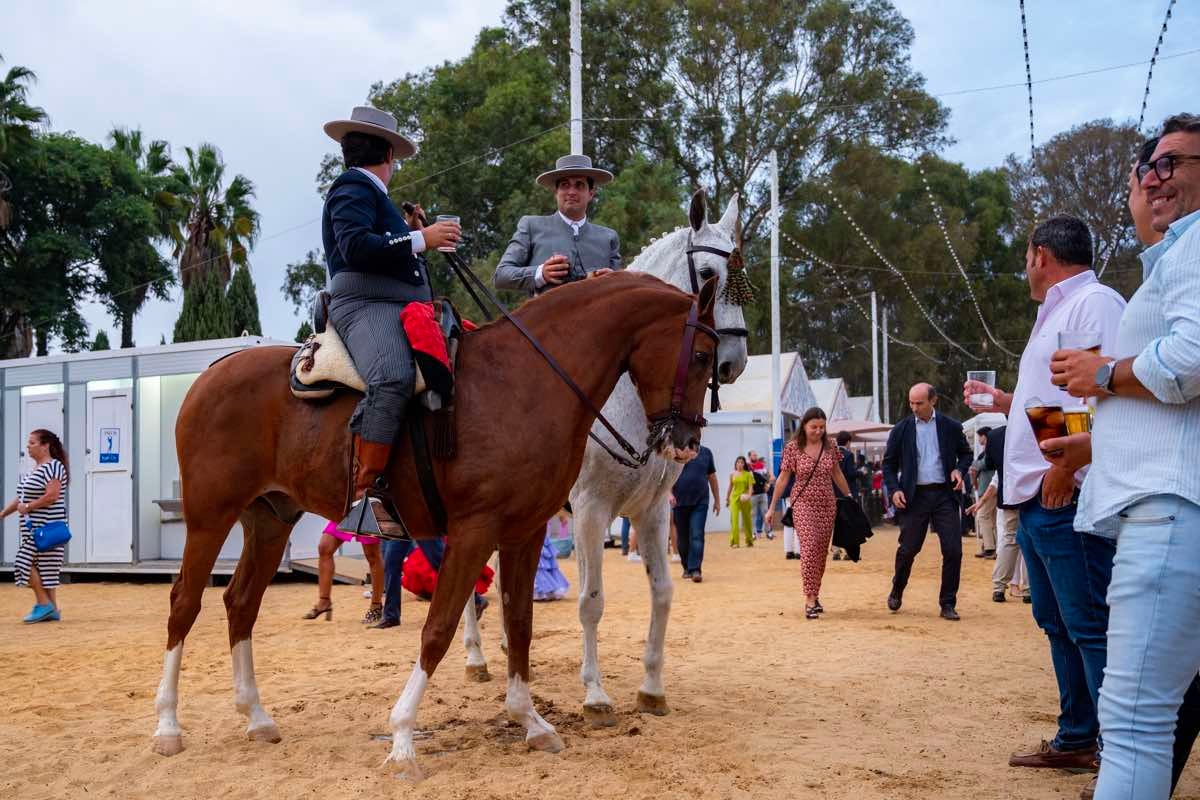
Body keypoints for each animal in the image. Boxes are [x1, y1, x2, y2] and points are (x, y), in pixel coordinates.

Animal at [146, 272, 715, 777]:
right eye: (704, 355)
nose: (686, 442)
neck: (526, 382)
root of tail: (212, 373)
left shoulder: (525, 532)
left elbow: (519, 623)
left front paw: (530, 721)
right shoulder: (474, 530)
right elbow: (438, 629)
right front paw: (402, 739)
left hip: (269, 521)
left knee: (241, 603)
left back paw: (257, 717)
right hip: (210, 516)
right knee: (184, 603)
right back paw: (168, 725)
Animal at [460, 189, 748, 724]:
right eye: (709, 276)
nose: (732, 363)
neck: (628, 395)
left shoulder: (652, 511)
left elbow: (663, 591)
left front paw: (652, 688)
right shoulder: (592, 510)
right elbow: (591, 600)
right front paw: (595, 694)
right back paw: (475, 658)